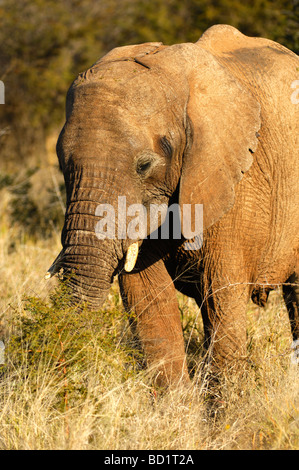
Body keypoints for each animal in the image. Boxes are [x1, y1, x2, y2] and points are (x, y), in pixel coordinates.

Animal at [47, 24, 299, 386]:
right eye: (62, 165)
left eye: (144, 165)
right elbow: (146, 297)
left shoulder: (231, 182)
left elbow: (221, 295)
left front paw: (226, 405)